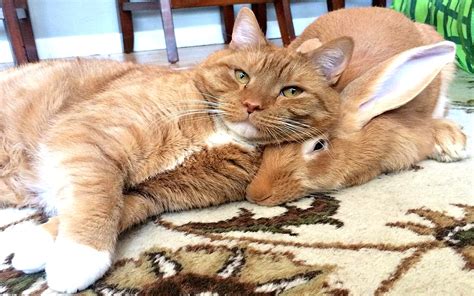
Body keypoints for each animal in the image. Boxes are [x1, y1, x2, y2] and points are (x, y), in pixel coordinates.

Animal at [0, 8, 354, 292]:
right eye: (241, 75)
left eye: (291, 91)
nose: (251, 105)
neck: (218, 130)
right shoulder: (89, 139)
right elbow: (99, 198)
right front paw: (78, 257)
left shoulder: (150, 196)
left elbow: (114, 209)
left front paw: (39, 244)